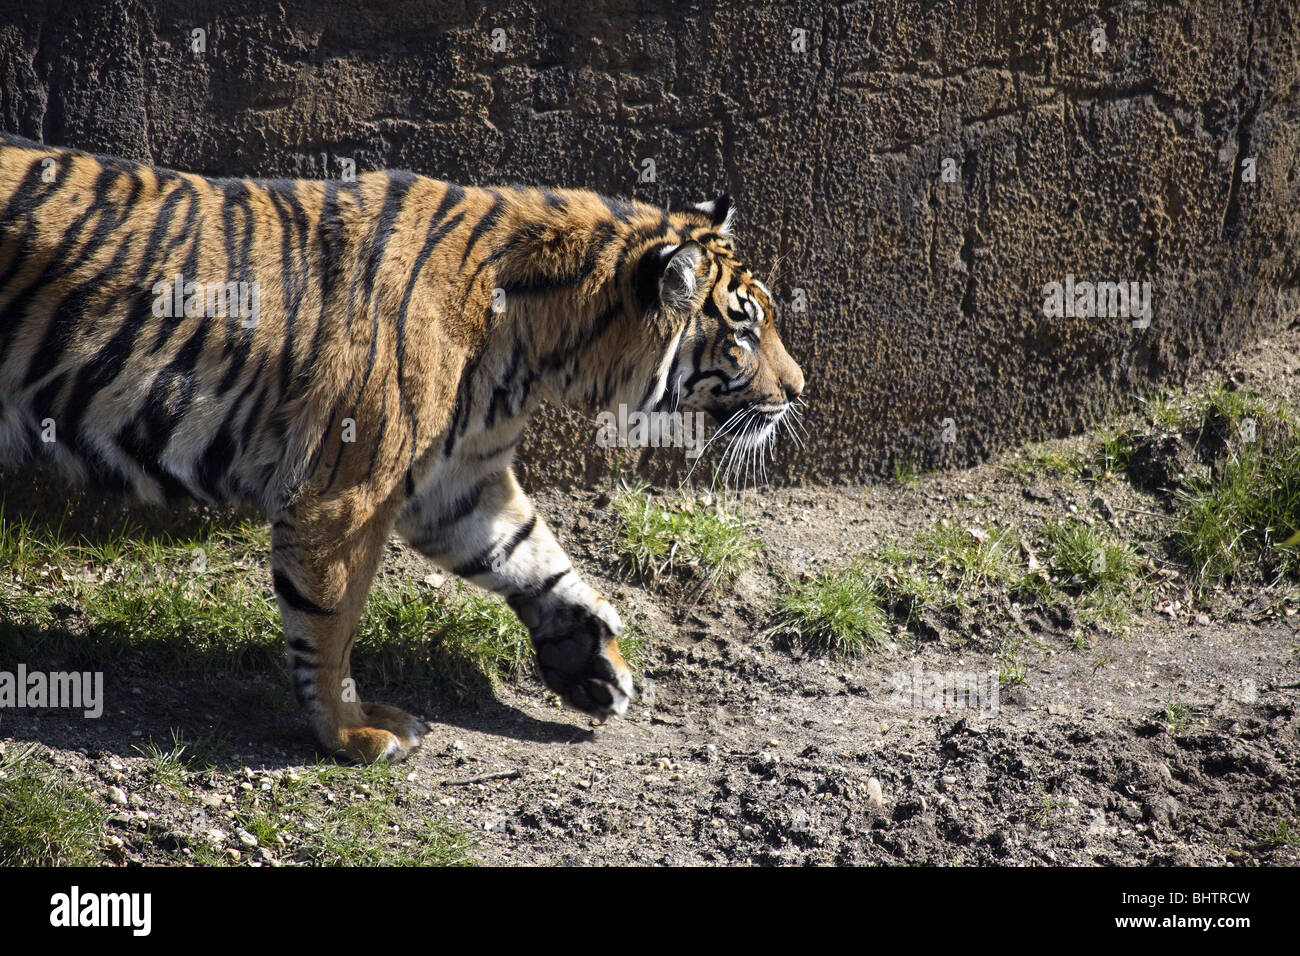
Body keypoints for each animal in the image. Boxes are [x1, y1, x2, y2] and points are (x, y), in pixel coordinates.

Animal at [0, 132, 806, 764]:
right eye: (742, 328)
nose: (799, 390)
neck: (534, 344)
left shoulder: (459, 479)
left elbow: (533, 554)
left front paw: (591, 661)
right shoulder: (348, 491)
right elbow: (331, 623)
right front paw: (351, 733)